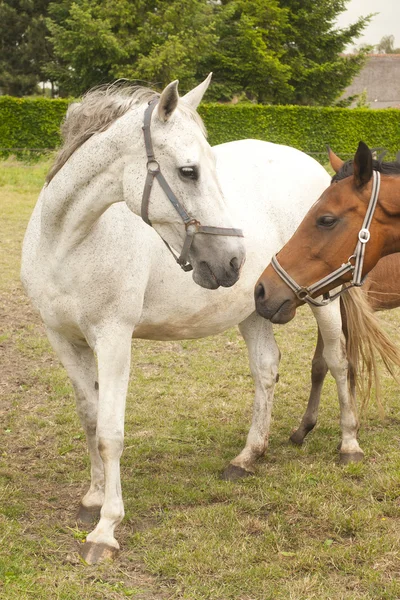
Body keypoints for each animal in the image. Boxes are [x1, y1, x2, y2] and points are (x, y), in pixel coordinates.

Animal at [21, 74, 356, 564]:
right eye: (188, 171)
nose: (233, 259)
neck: (68, 239)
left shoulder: (113, 339)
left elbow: (110, 431)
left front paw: (106, 529)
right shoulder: (63, 338)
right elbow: (89, 418)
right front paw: (93, 499)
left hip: (324, 298)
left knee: (336, 361)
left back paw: (349, 445)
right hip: (254, 307)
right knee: (267, 369)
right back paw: (247, 457)